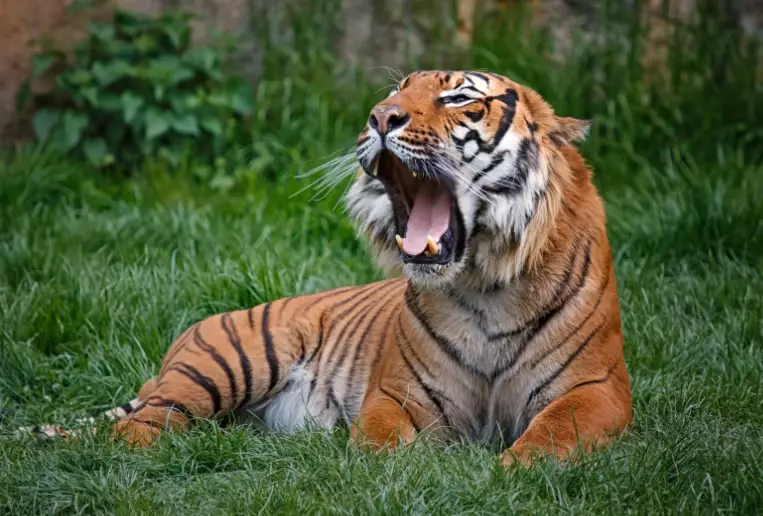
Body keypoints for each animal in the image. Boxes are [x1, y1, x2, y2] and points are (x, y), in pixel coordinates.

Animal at [17, 70, 632, 467]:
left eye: (459, 96)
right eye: (395, 91)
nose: (381, 117)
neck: (483, 286)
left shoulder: (597, 389)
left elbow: (552, 437)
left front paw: (507, 471)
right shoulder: (398, 394)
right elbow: (383, 445)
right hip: (220, 367)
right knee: (135, 429)